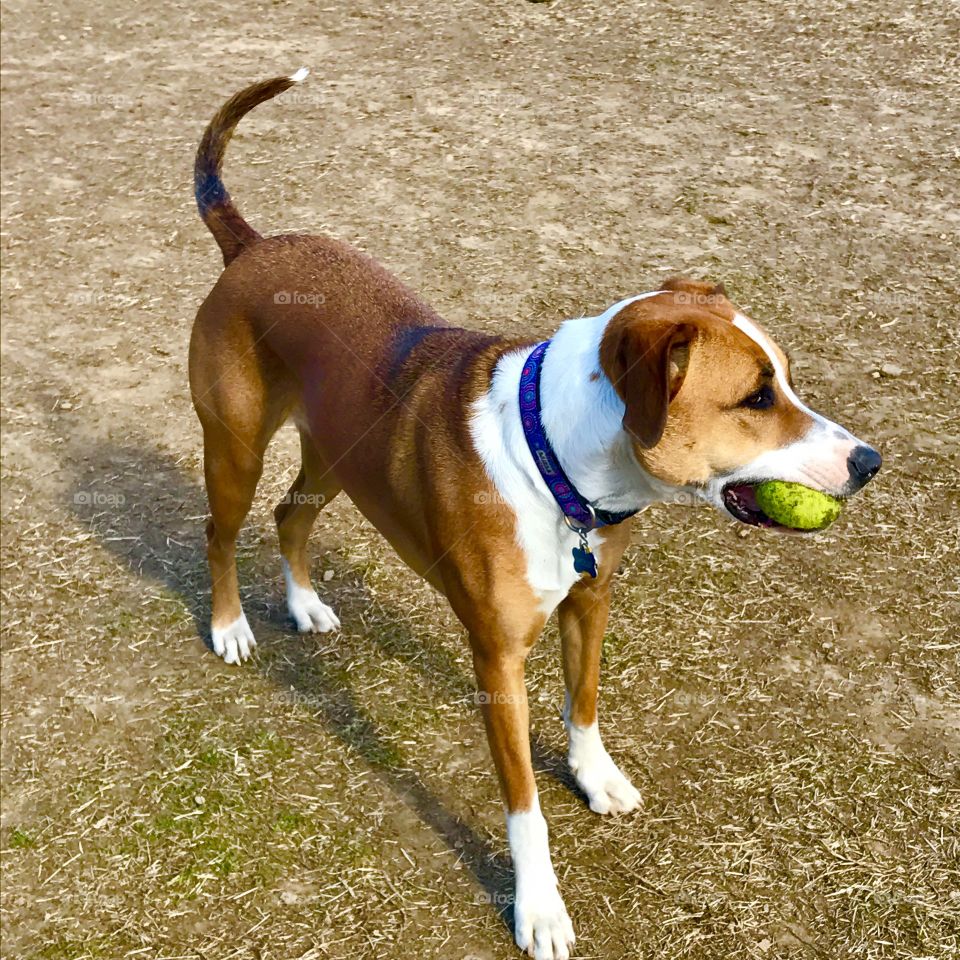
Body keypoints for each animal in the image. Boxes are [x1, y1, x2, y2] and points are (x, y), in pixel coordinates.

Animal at [189, 73, 884, 960]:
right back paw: (231, 627)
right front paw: (541, 907)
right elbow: (524, 811)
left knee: (290, 515)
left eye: (786, 380)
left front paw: (595, 777)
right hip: (236, 447)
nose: (868, 462)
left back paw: (305, 604)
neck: (550, 457)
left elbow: (584, 705)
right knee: (222, 531)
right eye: (757, 397)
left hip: (337, 455)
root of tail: (250, 245)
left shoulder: (590, 600)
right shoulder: (499, 660)